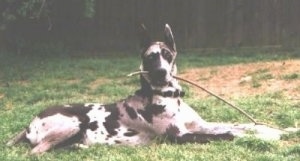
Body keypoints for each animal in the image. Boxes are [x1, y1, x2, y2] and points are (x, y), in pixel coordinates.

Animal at [6, 24, 292, 155]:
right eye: (149, 57)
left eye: (167, 55)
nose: (161, 73)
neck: (169, 97)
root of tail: (29, 124)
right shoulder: (180, 136)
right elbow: (229, 135)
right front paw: (267, 138)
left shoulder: (200, 126)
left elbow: (239, 126)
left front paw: (280, 130)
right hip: (74, 121)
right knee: (36, 152)